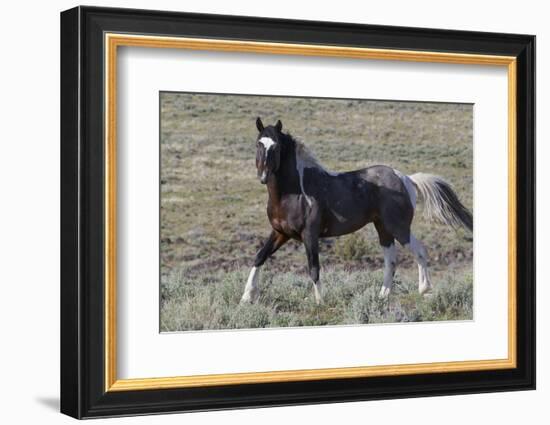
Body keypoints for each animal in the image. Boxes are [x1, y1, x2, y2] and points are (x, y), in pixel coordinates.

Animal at [242, 116, 474, 304]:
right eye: (258, 144)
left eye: (276, 147)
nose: (263, 176)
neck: (294, 192)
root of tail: (406, 178)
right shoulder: (280, 233)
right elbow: (260, 257)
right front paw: (247, 297)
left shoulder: (310, 234)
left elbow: (314, 267)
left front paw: (320, 302)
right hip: (383, 228)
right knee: (391, 261)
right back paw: (382, 296)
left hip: (398, 227)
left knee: (419, 251)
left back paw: (424, 290)